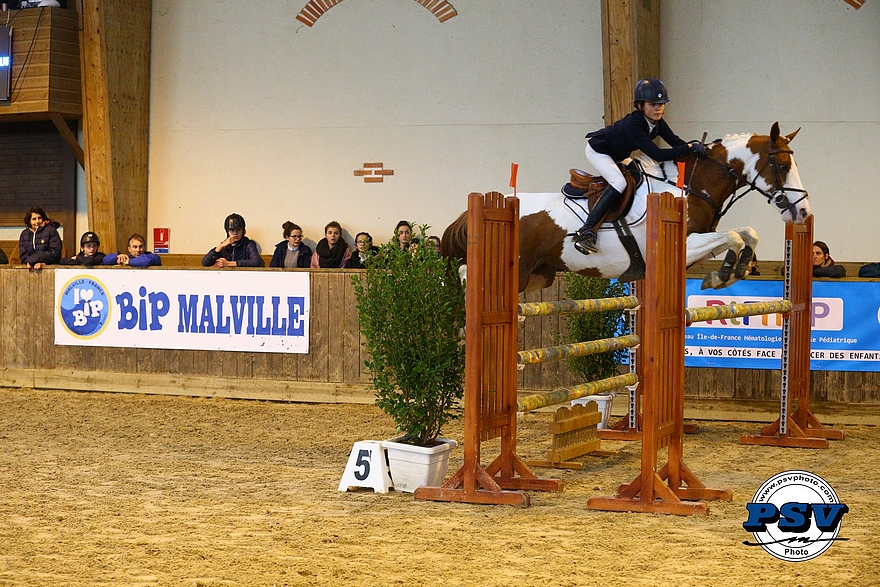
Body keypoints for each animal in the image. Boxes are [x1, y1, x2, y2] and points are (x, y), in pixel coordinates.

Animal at [440, 121, 812, 294]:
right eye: (782, 167)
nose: (803, 212)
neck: (692, 186)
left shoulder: (698, 246)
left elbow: (746, 233)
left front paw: (733, 271)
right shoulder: (684, 243)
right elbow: (735, 235)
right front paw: (721, 277)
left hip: (537, 275)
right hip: (515, 271)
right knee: (465, 271)